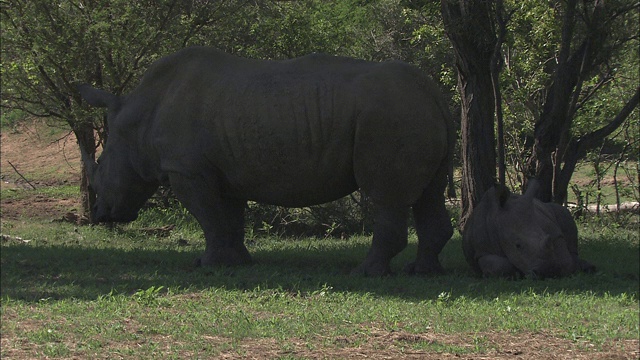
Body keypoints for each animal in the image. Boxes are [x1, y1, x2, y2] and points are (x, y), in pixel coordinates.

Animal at [460, 180, 596, 278]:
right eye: (518, 245)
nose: (548, 271)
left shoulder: (554, 233)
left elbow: (564, 255)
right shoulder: (482, 251)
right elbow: (499, 265)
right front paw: (515, 273)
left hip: (552, 208)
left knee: (563, 212)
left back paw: (588, 267)